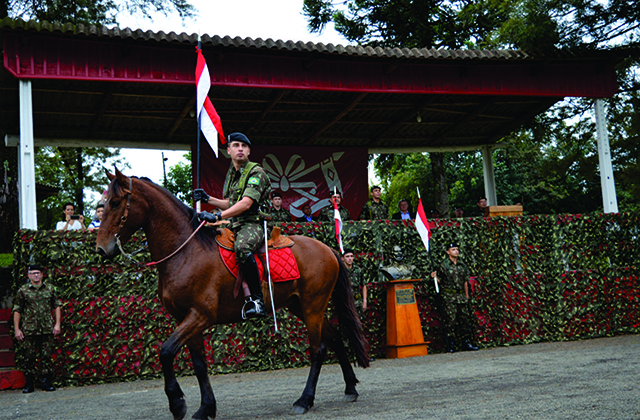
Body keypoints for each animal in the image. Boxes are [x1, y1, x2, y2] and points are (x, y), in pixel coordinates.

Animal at [92, 169, 368, 418]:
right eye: (103, 205)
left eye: (115, 203)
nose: (101, 249)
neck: (186, 251)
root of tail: (328, 248)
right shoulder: (186, 318)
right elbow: (199, 365)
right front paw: (206, 408)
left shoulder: (200, 316)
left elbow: (166, 351)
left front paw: (177, 402)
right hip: (300, 306)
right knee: (335, 338)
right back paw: (350, 388)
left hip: (313, 306)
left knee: (318, 349)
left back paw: (305, 399)